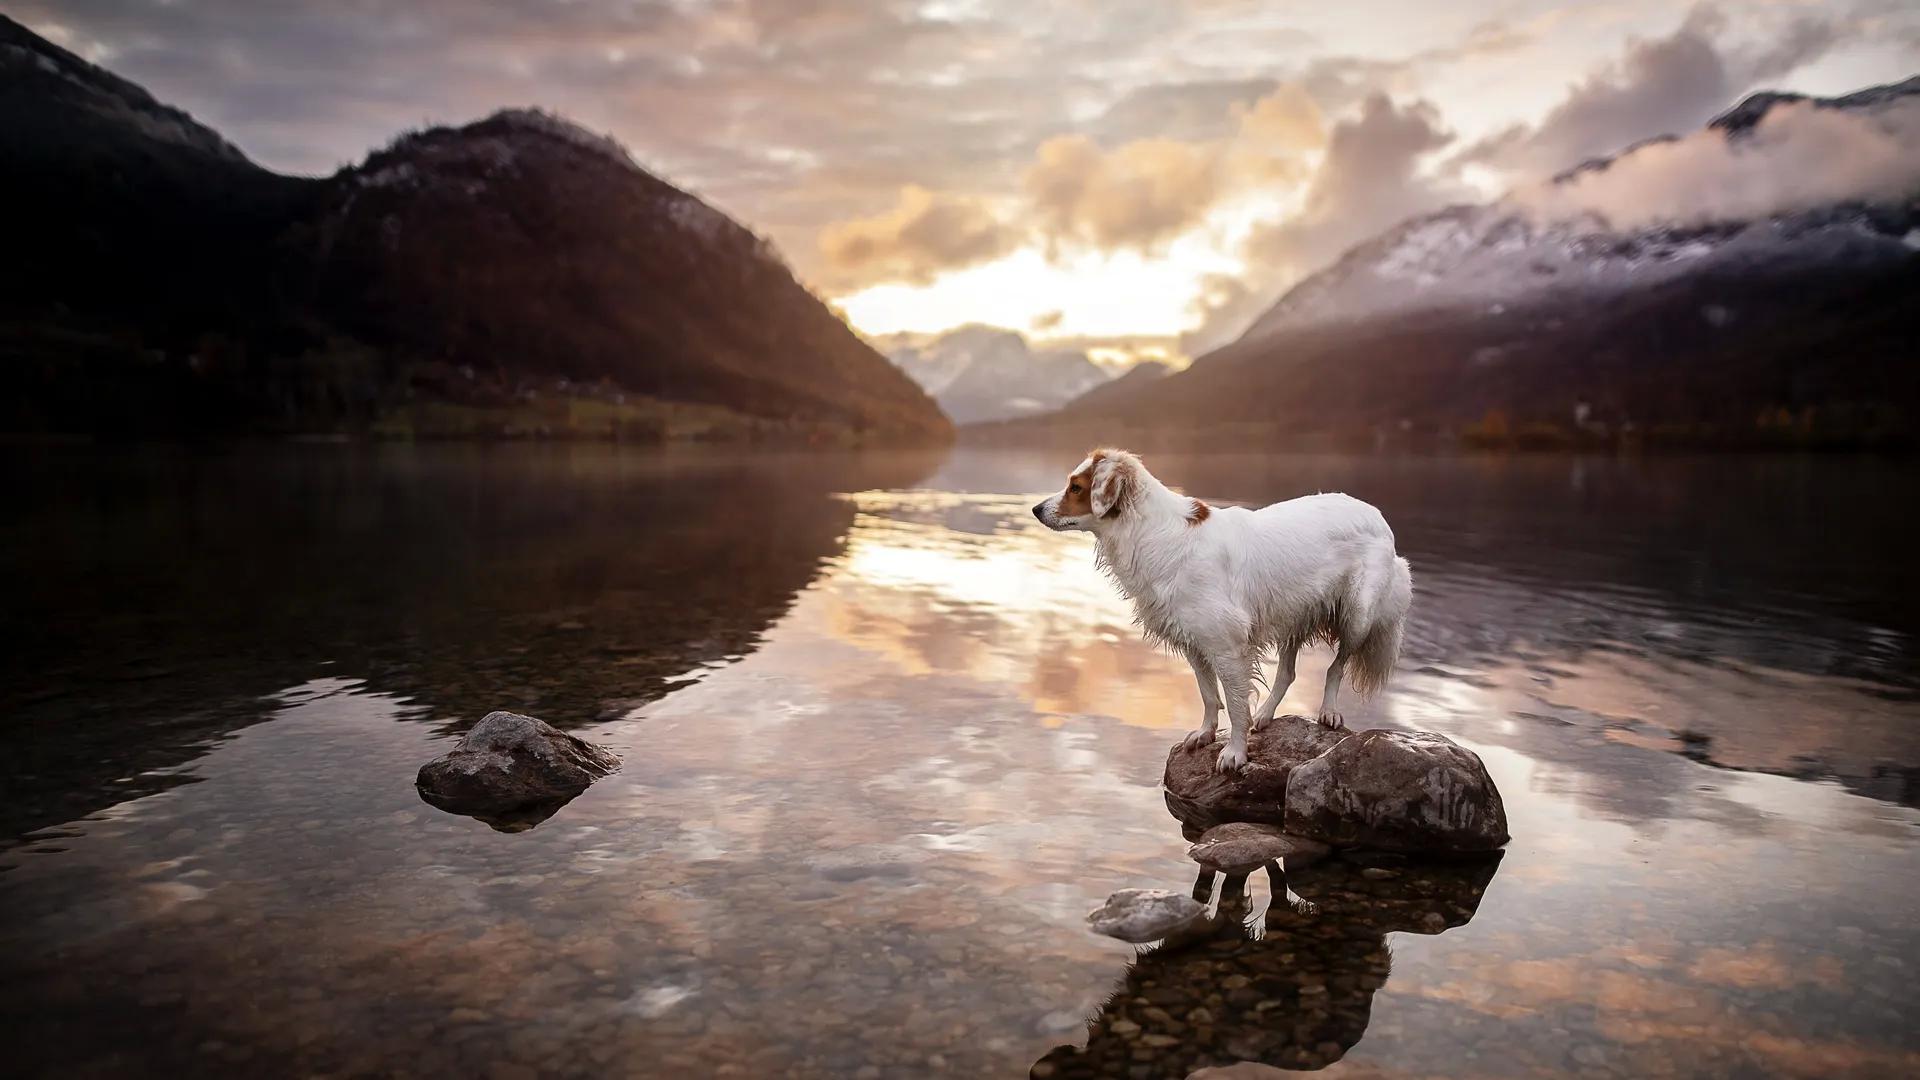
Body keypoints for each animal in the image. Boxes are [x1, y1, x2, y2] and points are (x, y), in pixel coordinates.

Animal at [1036, 449, 1413, 768]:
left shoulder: (1228, 648)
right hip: (1294, 611)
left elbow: (1234, 704)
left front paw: (1235, 752)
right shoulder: (1193, 643)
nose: (1036, 509)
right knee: (1287, 673)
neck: (1153, 533)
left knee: (1336, 666)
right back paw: (1266, 714)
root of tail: (1375, 513)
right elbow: (1207, 694)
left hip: (1358, 616)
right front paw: (1205, 733)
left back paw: (1328, 710)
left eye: (1076, 487)